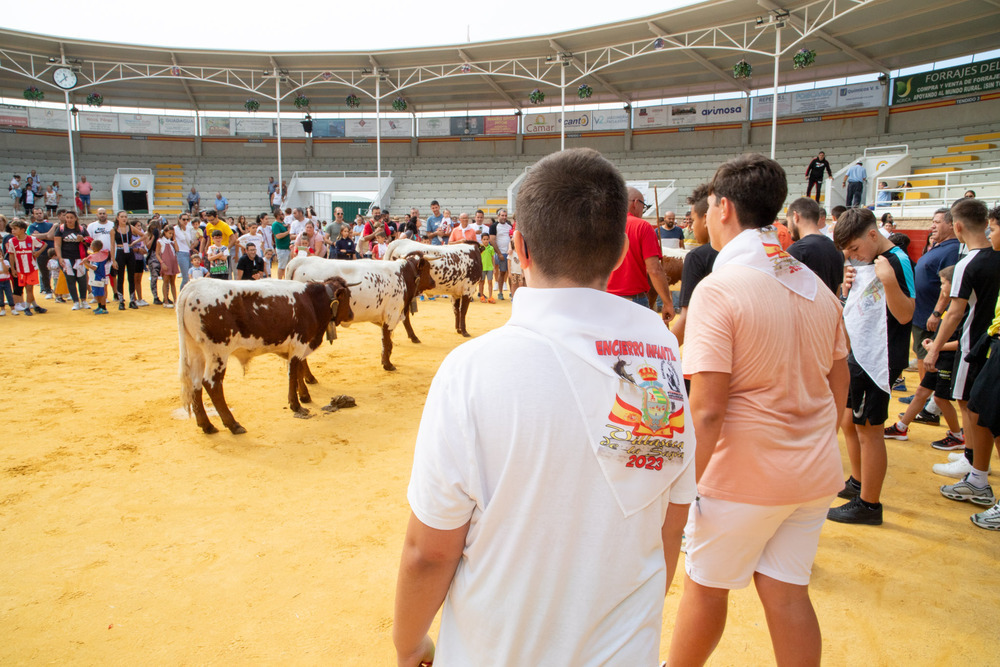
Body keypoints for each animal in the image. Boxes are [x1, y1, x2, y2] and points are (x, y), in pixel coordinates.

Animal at [178, 276, 354, 436]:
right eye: (348, 296)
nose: (351, 315)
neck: (311, 301)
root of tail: (193, 286)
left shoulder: (295, 348)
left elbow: (298, 371)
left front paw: (304, 395)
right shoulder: (299, 344)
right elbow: (293, 373)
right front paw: (296, 404)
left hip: (196, 351)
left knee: (195, 384)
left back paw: (206, 425)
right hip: (217, 353)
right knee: (212, 384)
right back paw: (233, 424)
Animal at [284, 254, 436, 370]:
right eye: (427, 268)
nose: (433, 282)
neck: (402, 275)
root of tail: (300, 260)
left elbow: (385, 341)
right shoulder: (391, 315)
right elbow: (387, 341)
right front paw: (388, 365)